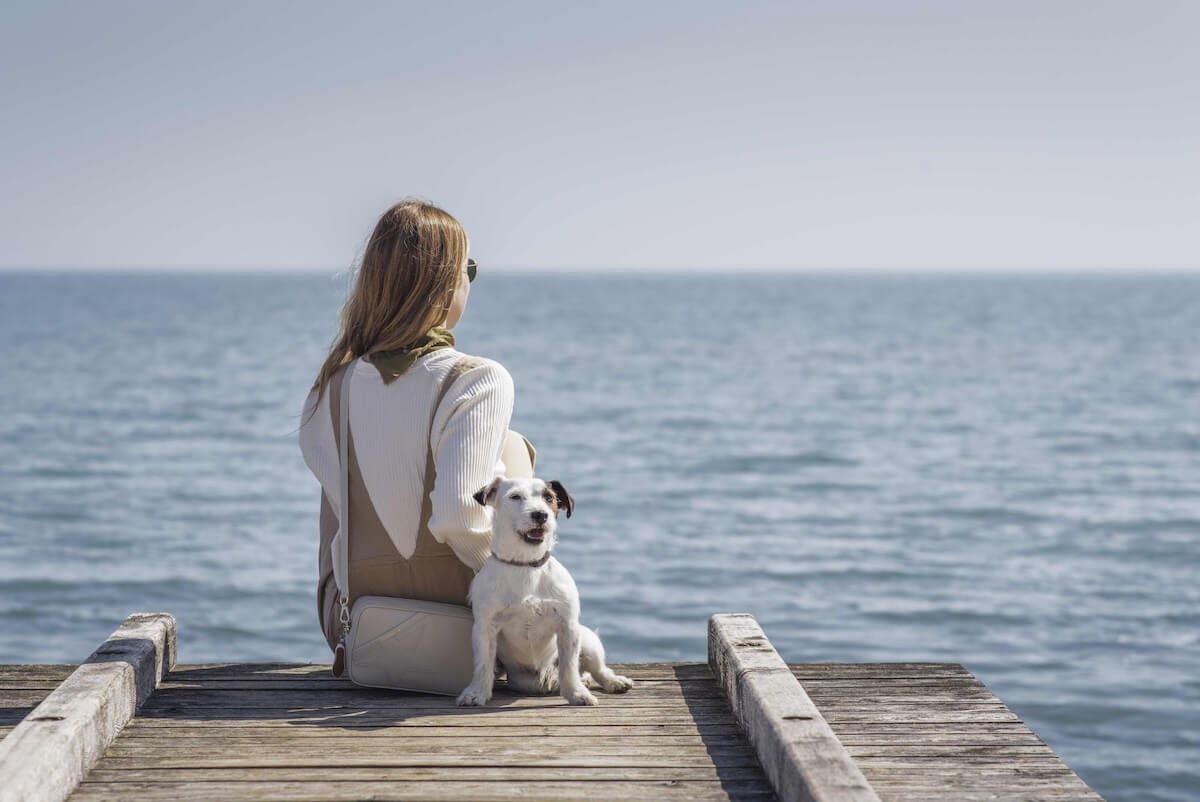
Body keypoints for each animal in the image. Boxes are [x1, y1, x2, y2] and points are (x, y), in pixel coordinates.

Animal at [453, 480, 633, 705]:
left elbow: (569, 666)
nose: (540, 515)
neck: (526, 566)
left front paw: (576, 693)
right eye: (515, 497)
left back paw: (612, 681)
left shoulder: (568, 627)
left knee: (596, 669)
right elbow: (483, 664)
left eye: (549, 497)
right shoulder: (485, 628)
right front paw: (476, 692)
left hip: (588, 640)